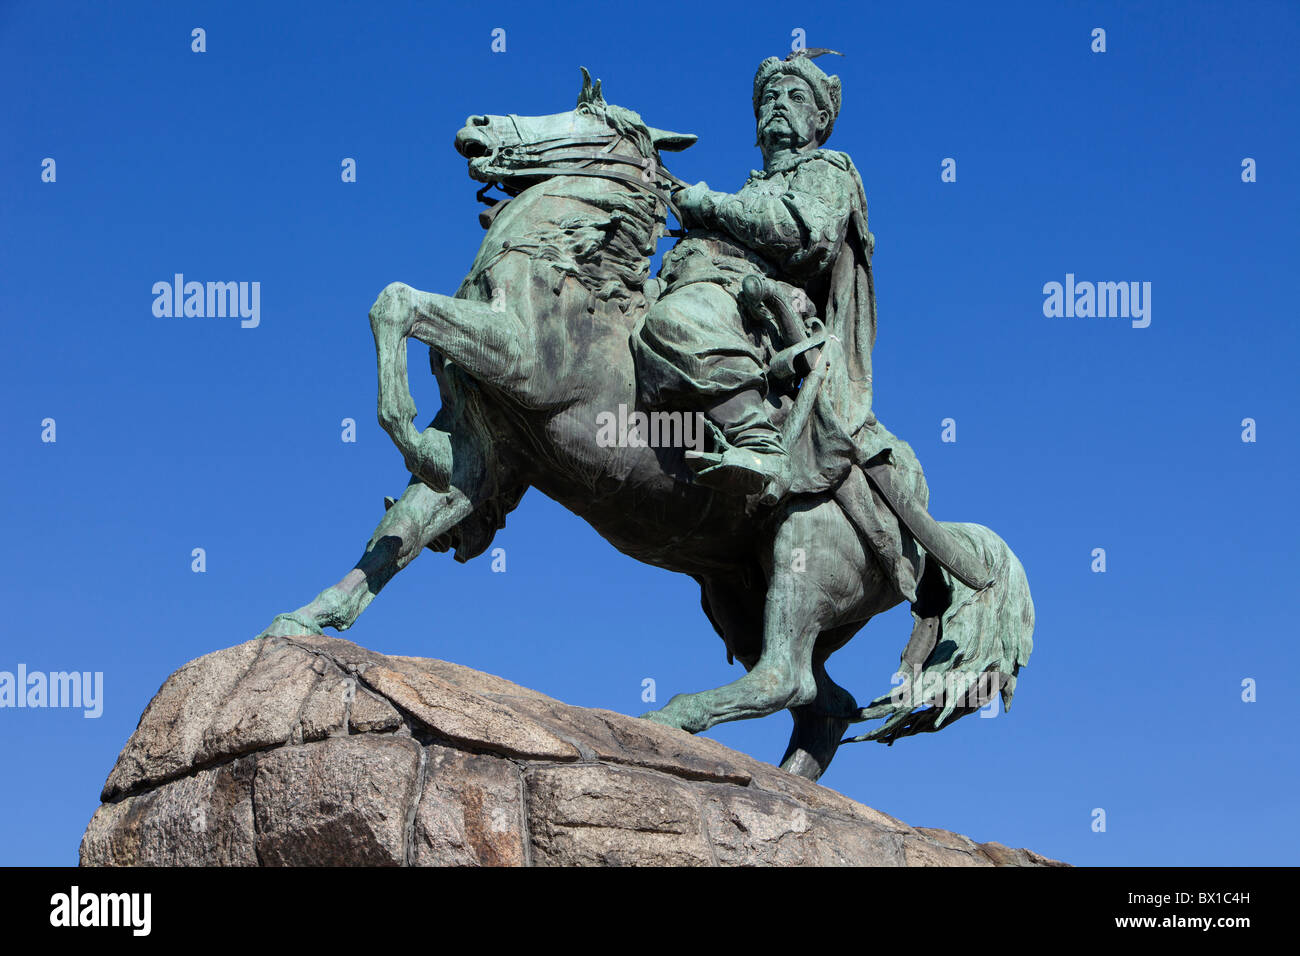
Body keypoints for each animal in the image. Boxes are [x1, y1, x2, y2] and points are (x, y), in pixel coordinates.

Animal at [261, 70, 1034, 780]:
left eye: (586, 113)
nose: (476, 123)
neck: (564, 273)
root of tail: (919, 513)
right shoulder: (487, 453)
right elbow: (402, 530)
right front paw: (308, 619)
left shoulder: (519, 359)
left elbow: (395, 301)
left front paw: (403, 430)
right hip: (738, 596)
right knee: (824, 704)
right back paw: (784, 784)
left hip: (805, 556)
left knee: (788, 677)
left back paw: (673, 715)